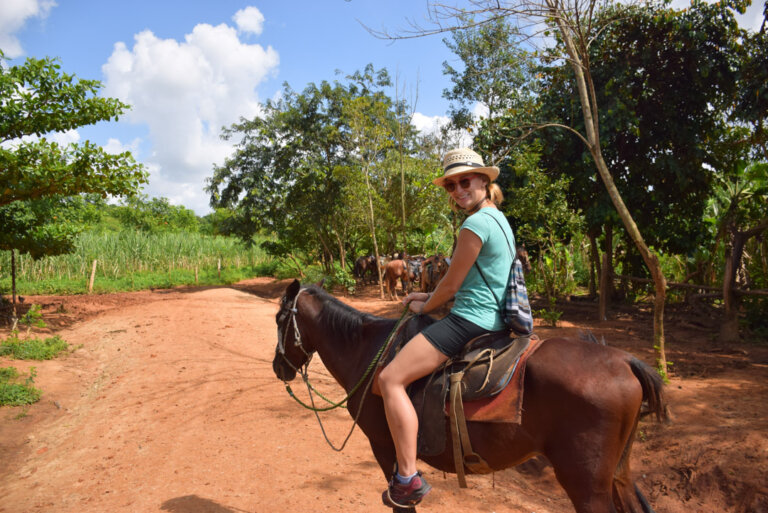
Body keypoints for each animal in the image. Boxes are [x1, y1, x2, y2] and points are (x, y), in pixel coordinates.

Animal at [272, 281, 667, 513]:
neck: (367, 351)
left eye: (279, 319)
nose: (279, 367)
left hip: (584, 483)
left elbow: (403, 503)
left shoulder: (385, 447)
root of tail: (625, 360)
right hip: (617, 474)